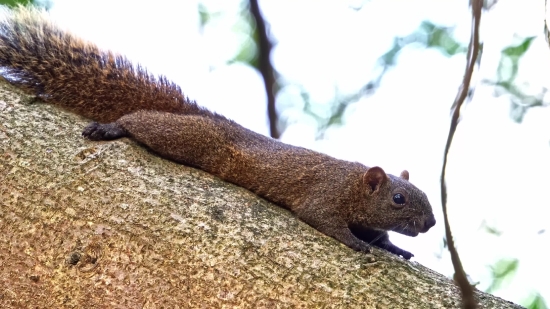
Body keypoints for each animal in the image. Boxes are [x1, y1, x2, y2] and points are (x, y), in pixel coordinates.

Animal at [2, 6, 438, 258]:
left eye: (424, 195)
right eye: (398, 199)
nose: (432, 223)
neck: (353, 185)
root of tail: (207, 118)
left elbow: (379, 235)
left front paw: (393, 247)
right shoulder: (324, 196)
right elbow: (326, 222)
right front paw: (361, 245)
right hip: (189, 138)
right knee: (141, 122)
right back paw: (113, 126)